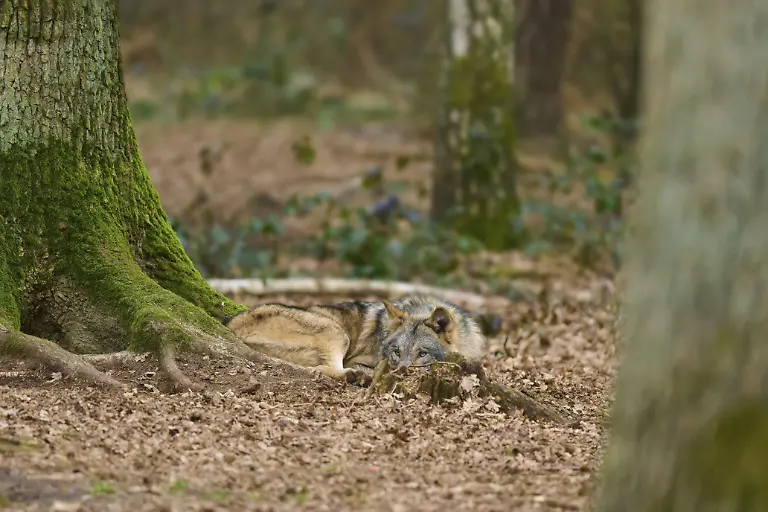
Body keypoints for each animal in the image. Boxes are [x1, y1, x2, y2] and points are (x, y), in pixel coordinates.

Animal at [223, 295, 488, 383]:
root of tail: (231, 325)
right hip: (335, 332)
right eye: (397, 352)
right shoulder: (358, 358)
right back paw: (358, 376)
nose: (399, 373)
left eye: (422, 354)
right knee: (323, 369)